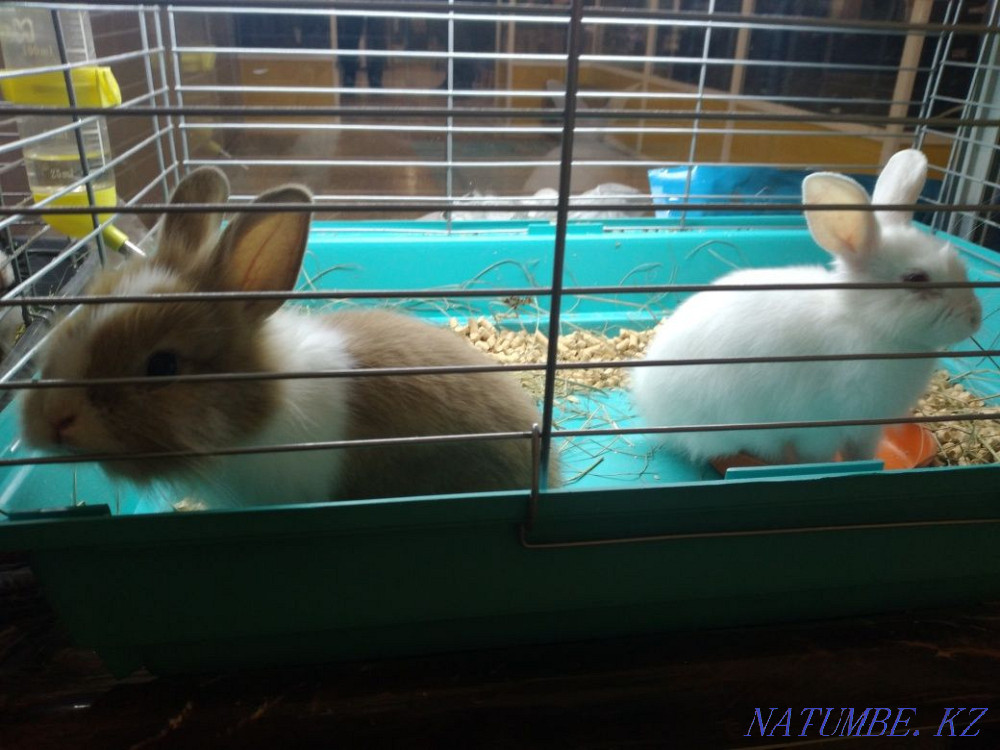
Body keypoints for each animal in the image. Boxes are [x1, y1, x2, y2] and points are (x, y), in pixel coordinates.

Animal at [631, 149, 982, 466]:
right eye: (916, 278)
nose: (975, 318)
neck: (863, 322)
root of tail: (651, 406)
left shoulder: (867, 428)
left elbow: (862, 455)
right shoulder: (819, 428)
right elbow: (820, 457)